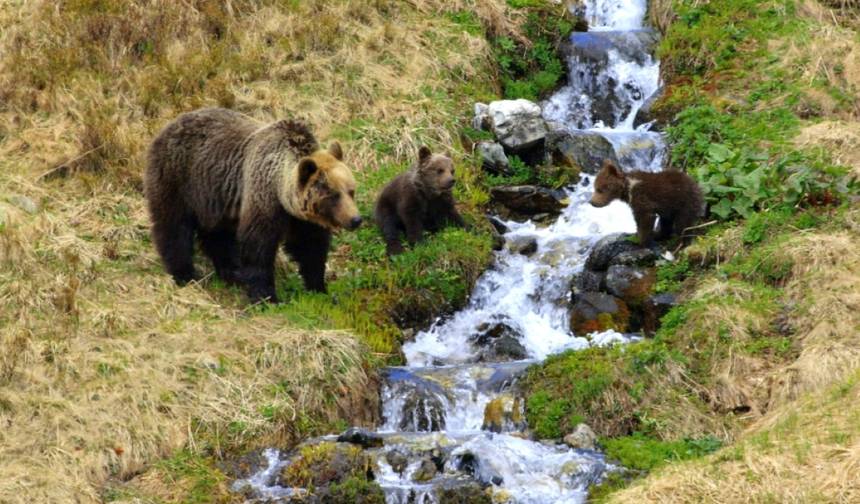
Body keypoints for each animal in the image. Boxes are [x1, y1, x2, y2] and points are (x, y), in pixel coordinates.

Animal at [144, 107, 361, 302]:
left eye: (351, 191)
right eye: (333, 195)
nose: (356, 219)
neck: (281, 192)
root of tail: (169, 124)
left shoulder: (302, 219)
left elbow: (311, 247)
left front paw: (319, 288)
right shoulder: (263, 199)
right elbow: (258, 248)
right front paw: (266, 296)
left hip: (214, 197)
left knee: (218, 235)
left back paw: (231, 271)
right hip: (178, 179)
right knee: (174, 226)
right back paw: (185, 274)